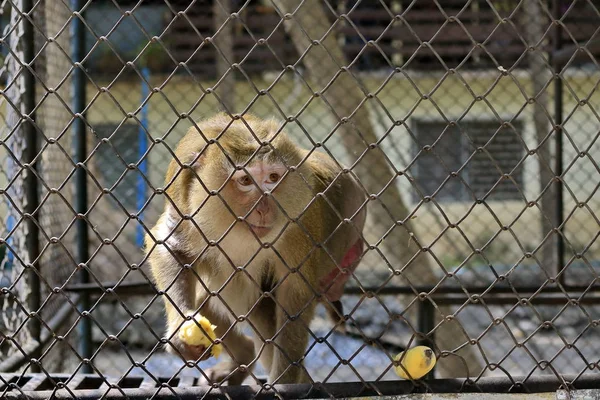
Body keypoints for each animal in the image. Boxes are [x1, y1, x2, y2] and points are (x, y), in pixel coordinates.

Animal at [145, 112, 366, 384]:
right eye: (245, 180)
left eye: (273, 178)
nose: (264, 208)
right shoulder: (182, 197)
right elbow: (171, 248)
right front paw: (182, 328)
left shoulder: (298, 220)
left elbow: (294, 290)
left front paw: (284, 381)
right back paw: (243, 356)